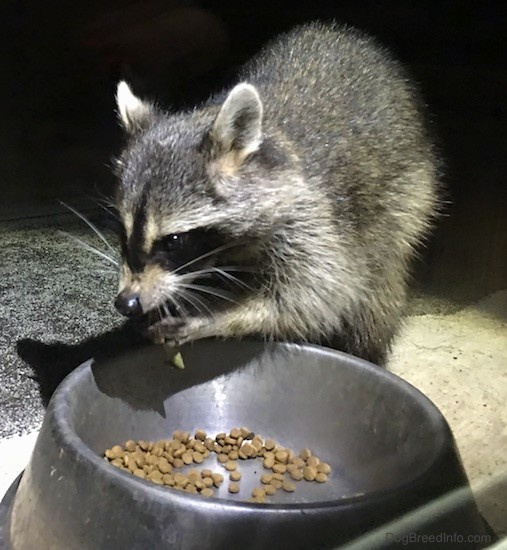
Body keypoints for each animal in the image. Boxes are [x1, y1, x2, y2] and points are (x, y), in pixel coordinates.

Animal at [113, 22, 438, 366]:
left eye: (174, 241)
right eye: (122, 231)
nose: (127, 303)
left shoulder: (311, 218)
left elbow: (315, 296)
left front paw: (216, 316)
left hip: (408, 198)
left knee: (377, 288)